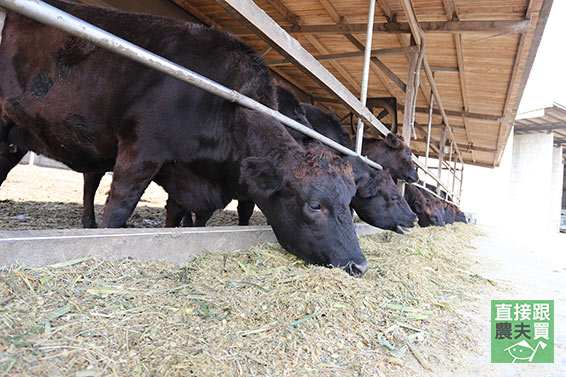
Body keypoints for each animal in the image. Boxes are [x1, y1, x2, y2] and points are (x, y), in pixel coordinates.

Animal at [0, 1, 368, 274]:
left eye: (349, 200)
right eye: (315, 205)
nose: (360, 265)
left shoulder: (187, 179)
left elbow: (183, 219)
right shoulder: (141, 151)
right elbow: (119, 207)